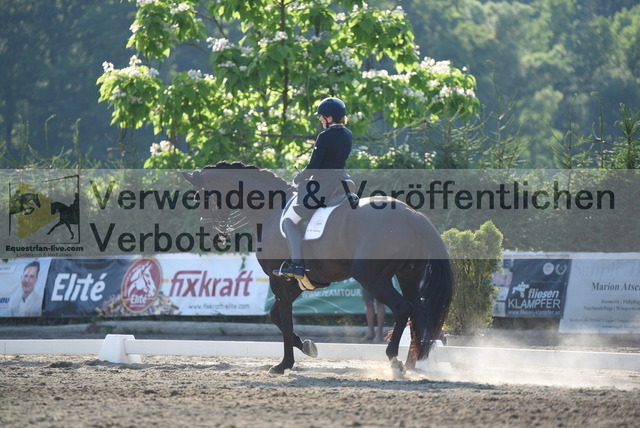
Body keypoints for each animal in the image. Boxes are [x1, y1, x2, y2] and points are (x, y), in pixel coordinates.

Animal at [183, 162, 454, 375]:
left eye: (201, 198)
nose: (215, 236)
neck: (271, 208)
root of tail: (410, 215)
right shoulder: (299, 281)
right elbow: (276, 316)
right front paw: (307, 346)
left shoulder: (278, 279)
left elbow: (285, 319)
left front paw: (283, 365)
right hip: (408, 275)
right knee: (417, 312)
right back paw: (410, 364)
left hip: (372, 278)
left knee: (402, 309)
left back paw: (395, 362)